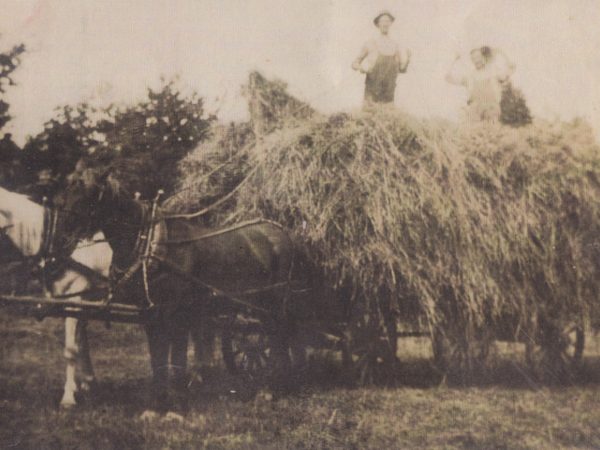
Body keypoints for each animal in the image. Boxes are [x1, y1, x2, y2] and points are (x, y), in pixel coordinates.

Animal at [54, 170, 310, 418]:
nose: (62, 233)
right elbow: (157, 360)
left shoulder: (178, 314)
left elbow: (176, 361)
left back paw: (274, 387)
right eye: (66, 189)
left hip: (274, 304)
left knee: (279, 337)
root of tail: (280, 231)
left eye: (88, 193)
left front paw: (176, 407)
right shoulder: (150, 314)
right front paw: (156, 407)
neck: (151, 244)